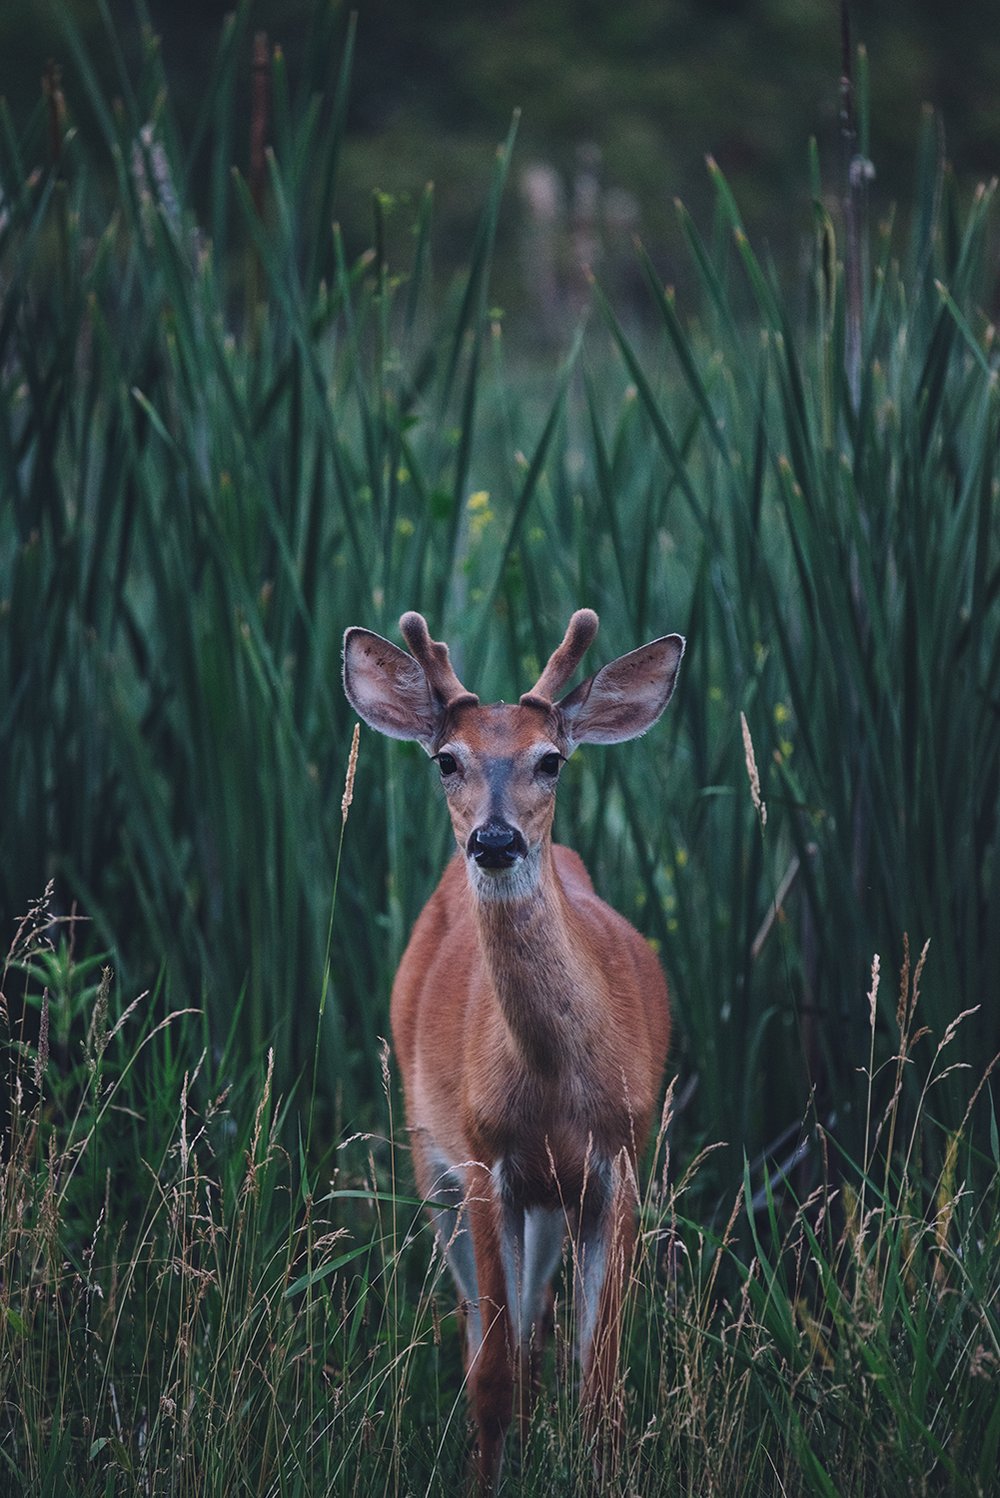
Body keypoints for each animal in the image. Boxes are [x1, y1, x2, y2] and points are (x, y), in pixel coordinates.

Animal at [339, 608, 682, 1486]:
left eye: (550, 760)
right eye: (446, 760)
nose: (495, 841)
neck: (558, 1087)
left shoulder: (620, 1160)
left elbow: (600, 1382)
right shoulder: (484, 1159)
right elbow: (491, 1374)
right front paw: (486, 1476)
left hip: (547, 1202)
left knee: (534, 1338)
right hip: (436, 1164)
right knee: (490, 1336)